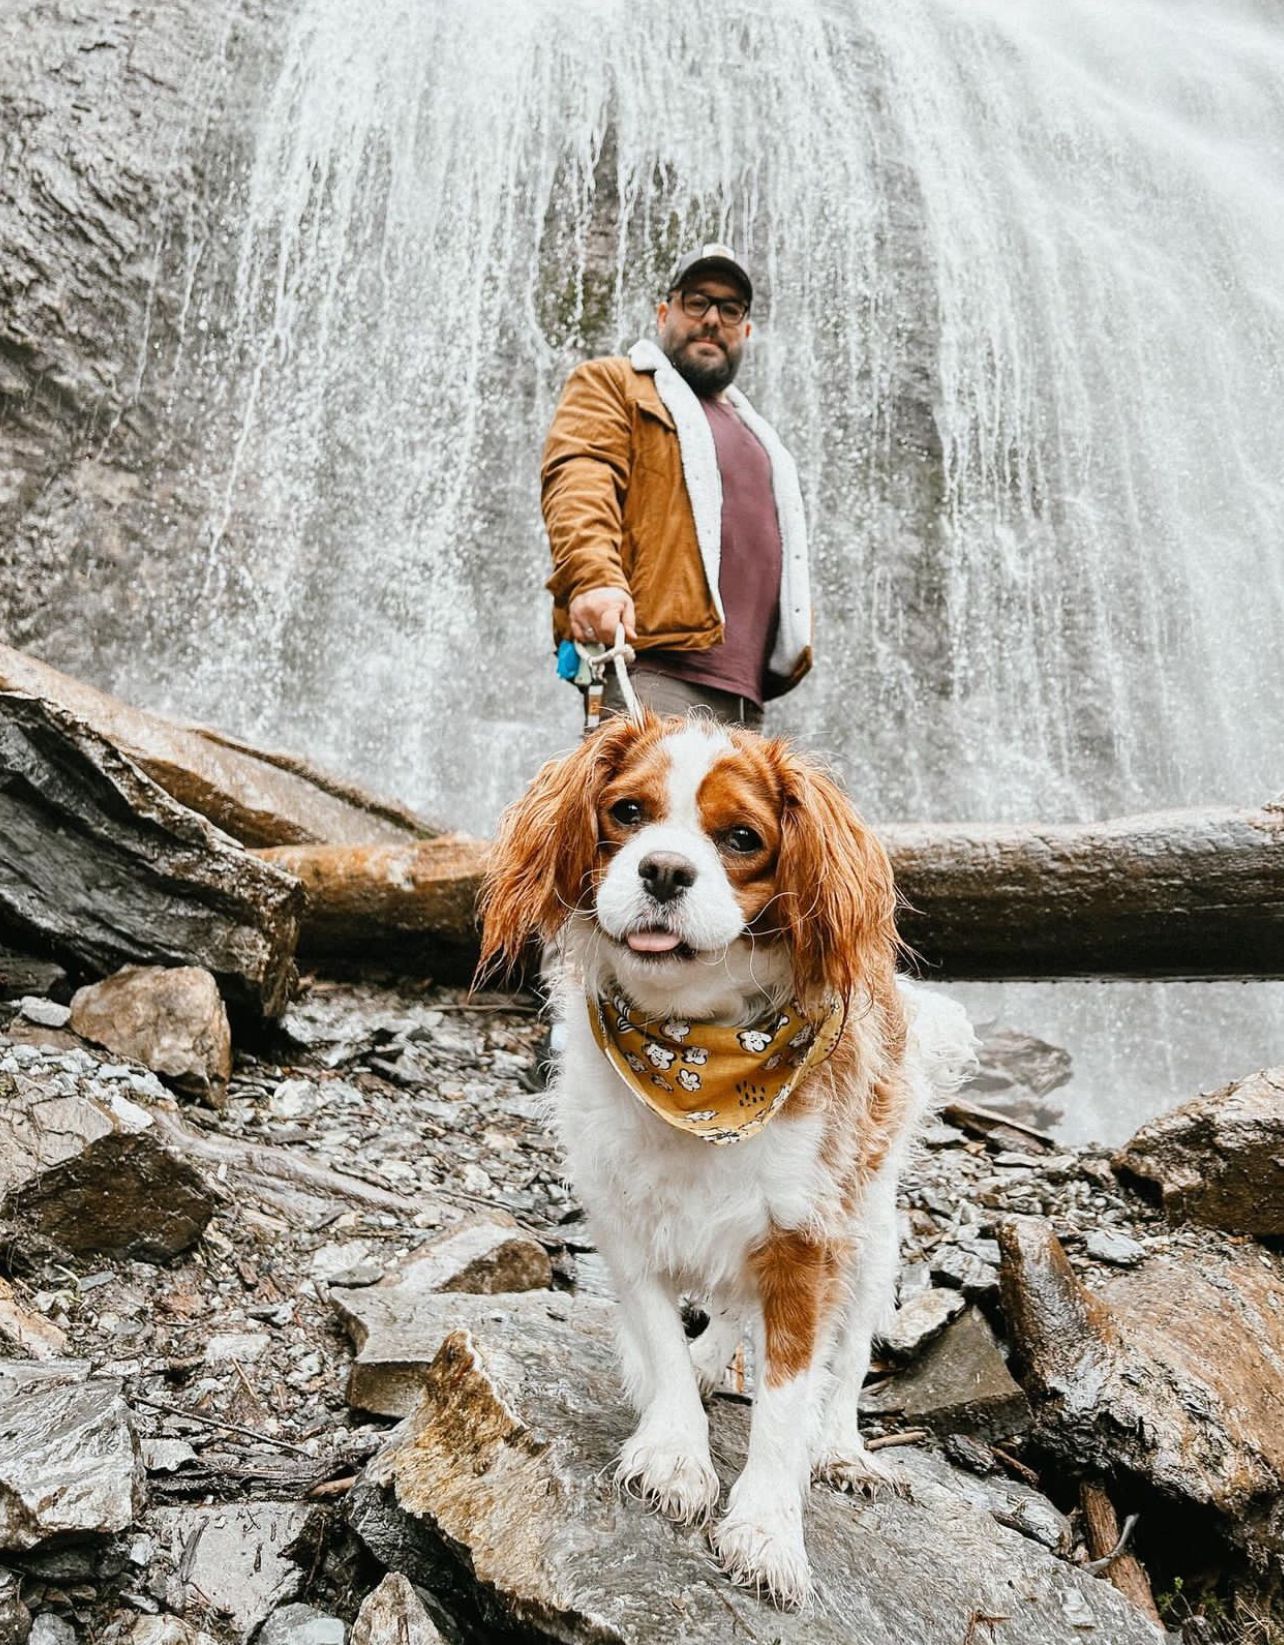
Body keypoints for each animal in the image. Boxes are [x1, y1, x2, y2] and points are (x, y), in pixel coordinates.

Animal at [480, 710, 973, 1605]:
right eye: (627, 813)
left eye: (742, 837)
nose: (665, 870)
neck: (698, 1056)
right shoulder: (625, 1223)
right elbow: (663, 1338)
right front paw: (675, 1449)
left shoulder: (805, 1242)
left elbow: (788, 1396)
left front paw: (769, 1531)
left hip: (872, 1238)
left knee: (848, 1357)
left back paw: (842, 1448)